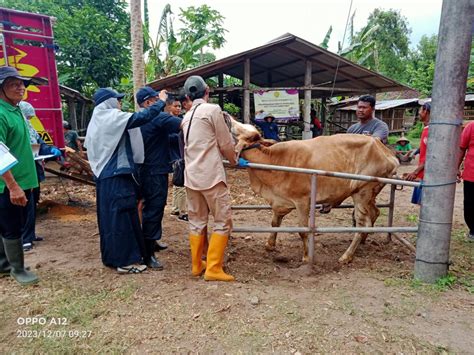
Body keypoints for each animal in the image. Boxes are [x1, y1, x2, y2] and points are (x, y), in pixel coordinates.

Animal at [231, 121, 398, 262]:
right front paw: (270, 245)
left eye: (238, 130)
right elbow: (274, 222)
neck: (275, 160)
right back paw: (363, 241)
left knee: (362, 223)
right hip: (370, 194)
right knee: (374, 213)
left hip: (363, 192)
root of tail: (387, 153)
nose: (226, 116)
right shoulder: (279, 201)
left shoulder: (303, 201)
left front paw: (306, 257)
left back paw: (346, 256)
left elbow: (303, 230)